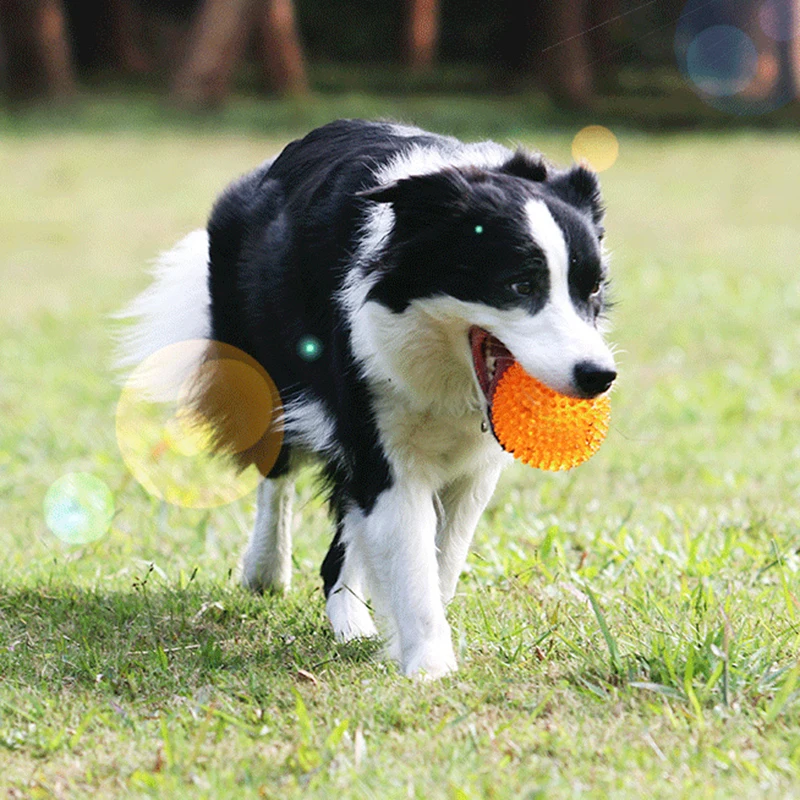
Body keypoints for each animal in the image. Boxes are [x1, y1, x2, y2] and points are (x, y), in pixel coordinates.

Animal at [115, 119, 616, 680]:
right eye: (520, 284)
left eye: (592, 290)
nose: (599, 376)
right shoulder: (378, 429)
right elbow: (411, 555)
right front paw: (430, 668)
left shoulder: (473, 464)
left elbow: (441, 556)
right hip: (264, 366)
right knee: (277, 469)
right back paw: (266, 569)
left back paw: (350, 618)